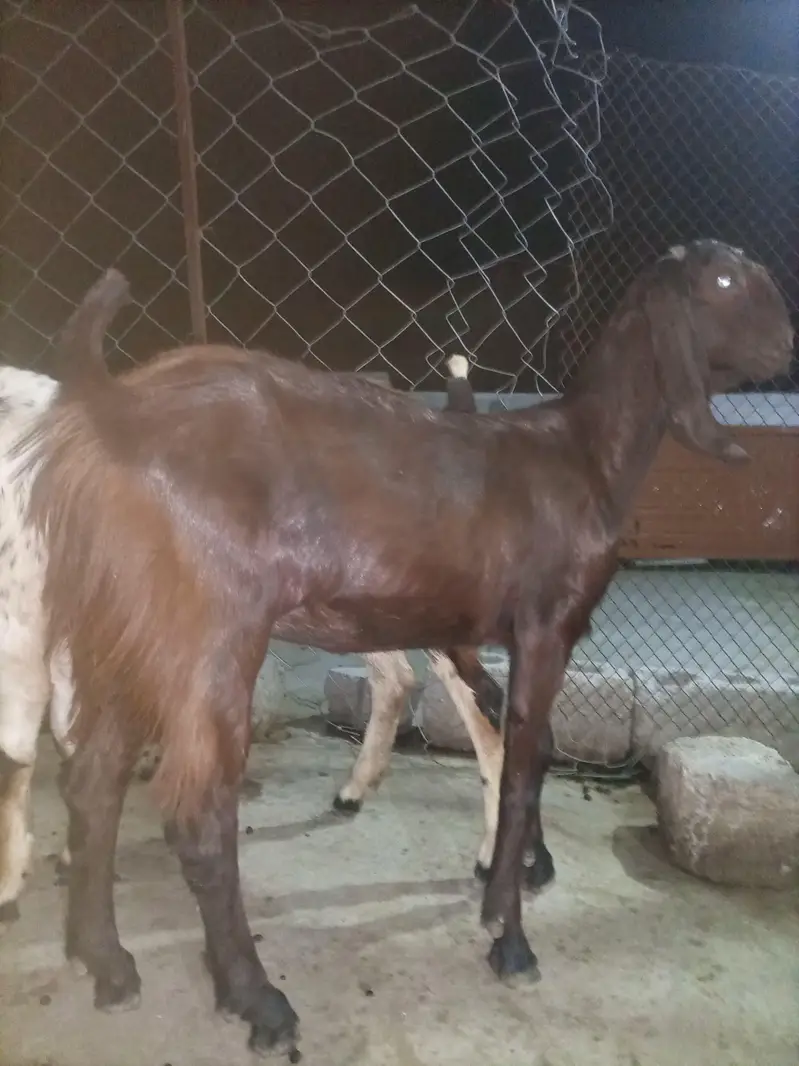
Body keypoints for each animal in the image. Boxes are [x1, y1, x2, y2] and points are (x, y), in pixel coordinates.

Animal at [19, 241, 792, 1058]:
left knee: (93, 782)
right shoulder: (545, 627)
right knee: (196, 815)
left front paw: (510, 883)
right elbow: (524, 765)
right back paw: (257, 999)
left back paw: (104, 961)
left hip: (120, 624)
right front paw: (509, 937)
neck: (580, 457)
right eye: (722, 279)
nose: (785, 344)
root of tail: (117, 411)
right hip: (207, 631)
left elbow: (523, 747)